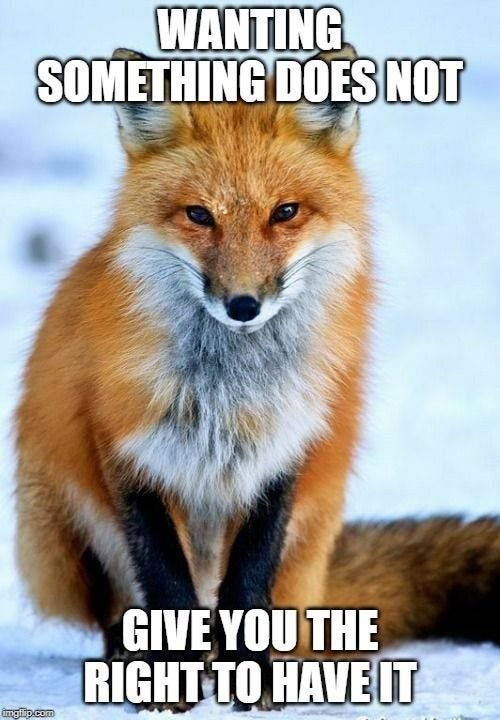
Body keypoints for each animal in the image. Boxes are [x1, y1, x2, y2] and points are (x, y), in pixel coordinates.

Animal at [15, 45, 500, 711]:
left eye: (284, 213)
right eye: (199, 216)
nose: (243, 305)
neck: (229, 391)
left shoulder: (282, 450)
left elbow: (248, 584)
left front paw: (255, 677)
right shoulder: (129, 452)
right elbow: (166, 584)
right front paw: (170, 676)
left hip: (316, 527)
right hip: (53, 531)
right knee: (119, 611)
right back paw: (130, 659)